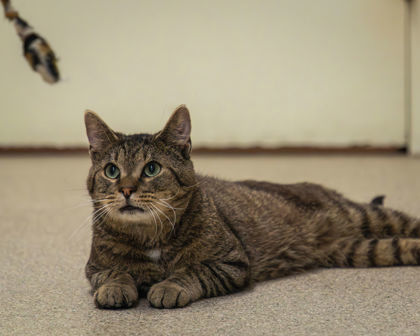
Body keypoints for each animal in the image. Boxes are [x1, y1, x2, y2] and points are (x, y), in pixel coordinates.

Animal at [84, 105, 420, 310]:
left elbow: (192, 271)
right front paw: (116, 287)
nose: (126, 190)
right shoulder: (93, 268)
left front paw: (168, 286)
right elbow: (114, 273)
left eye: (152, 168)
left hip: (365, 215)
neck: (150, 236)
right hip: (359, 251)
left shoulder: (232, 263)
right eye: (111, 171)